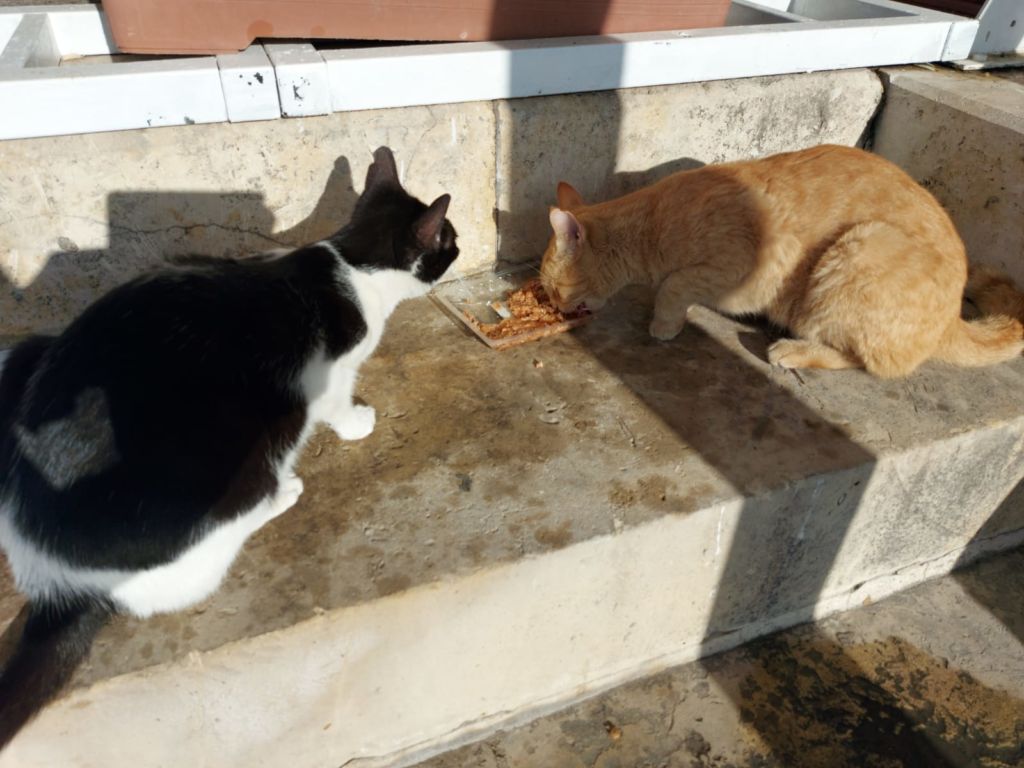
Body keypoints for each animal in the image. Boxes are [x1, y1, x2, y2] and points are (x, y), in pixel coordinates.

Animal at [0, 145, 460, 745]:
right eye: (449, 238)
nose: (462, 247)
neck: (352, 263)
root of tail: (60, 581)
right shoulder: (326, 376)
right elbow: (337, 404)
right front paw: (358, 422)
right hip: (247, 462)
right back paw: (284, 491)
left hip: (26, 356)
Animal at [540, 144, 1019, 378]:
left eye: (553, 289)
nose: (556, 308)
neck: (650, 222)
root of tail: (953, 318)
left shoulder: (755, 268)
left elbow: (675, 284)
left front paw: (664, 324)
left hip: (858, 248)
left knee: (876, 364)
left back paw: (793, 349)